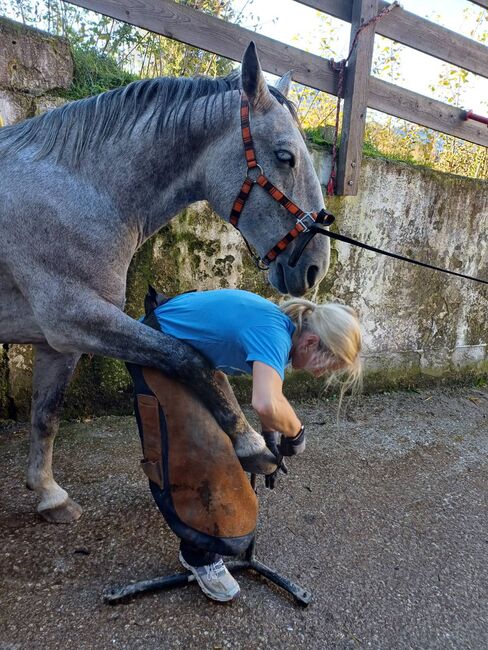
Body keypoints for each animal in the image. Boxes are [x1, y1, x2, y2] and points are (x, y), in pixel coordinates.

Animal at [0, 43, 330, 520]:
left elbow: (46, 416)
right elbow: (191, 359)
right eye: (285, 156)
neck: (80, 190)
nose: (315, 267)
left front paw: (49, 494)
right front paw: (250, 442)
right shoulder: (77, 319)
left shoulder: (59, 341)